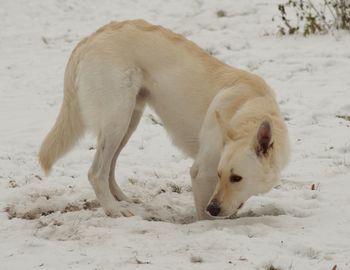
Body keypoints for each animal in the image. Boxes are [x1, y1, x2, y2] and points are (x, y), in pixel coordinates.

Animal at [39, 20, 290, 220]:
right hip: (117, 120)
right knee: (96, 172)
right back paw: (114, 210)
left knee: (109, 167)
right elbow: (205, 217)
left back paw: (122, 199)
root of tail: (92, 37)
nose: (214, 208)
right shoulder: (202, 173)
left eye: (236, 178)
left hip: (128, 122)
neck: (250, 106)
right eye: (221, 174)